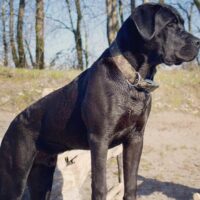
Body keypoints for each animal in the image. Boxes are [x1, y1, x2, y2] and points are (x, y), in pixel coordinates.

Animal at [0, 3, 200, 200]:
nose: (198, 41)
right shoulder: (99, 139)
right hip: (15, 176)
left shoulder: (135, 138)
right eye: (171, 24)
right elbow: (100, 186)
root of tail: (12, 124)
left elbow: (131, 184)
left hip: (42, 175)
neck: (131, 79)